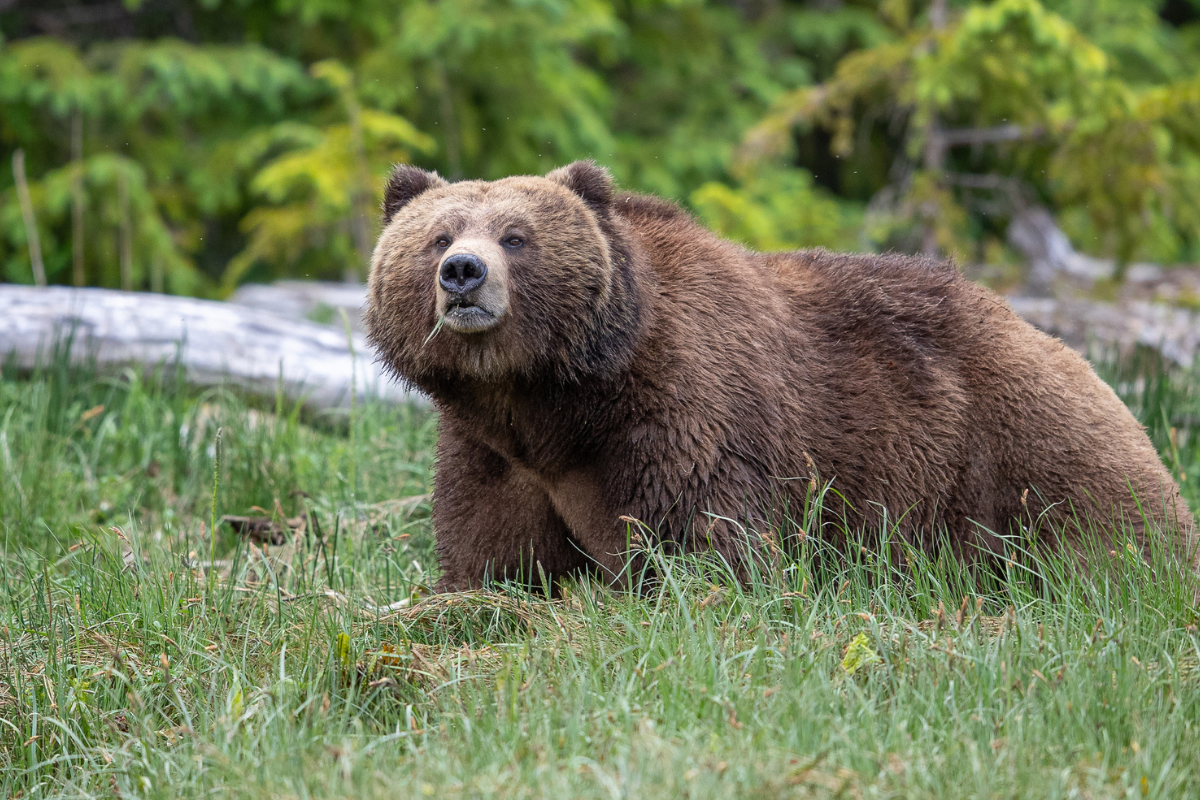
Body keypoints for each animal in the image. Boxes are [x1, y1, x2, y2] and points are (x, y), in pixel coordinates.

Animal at [365, 160, 1196, 592]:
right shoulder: (492, 450)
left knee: (1102, 519)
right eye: (437, 234)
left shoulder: (682, 407)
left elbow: (706, 542)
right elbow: (493, 554)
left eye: (517, 235)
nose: (462, 273)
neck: (552, 398)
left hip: (1014, 443)